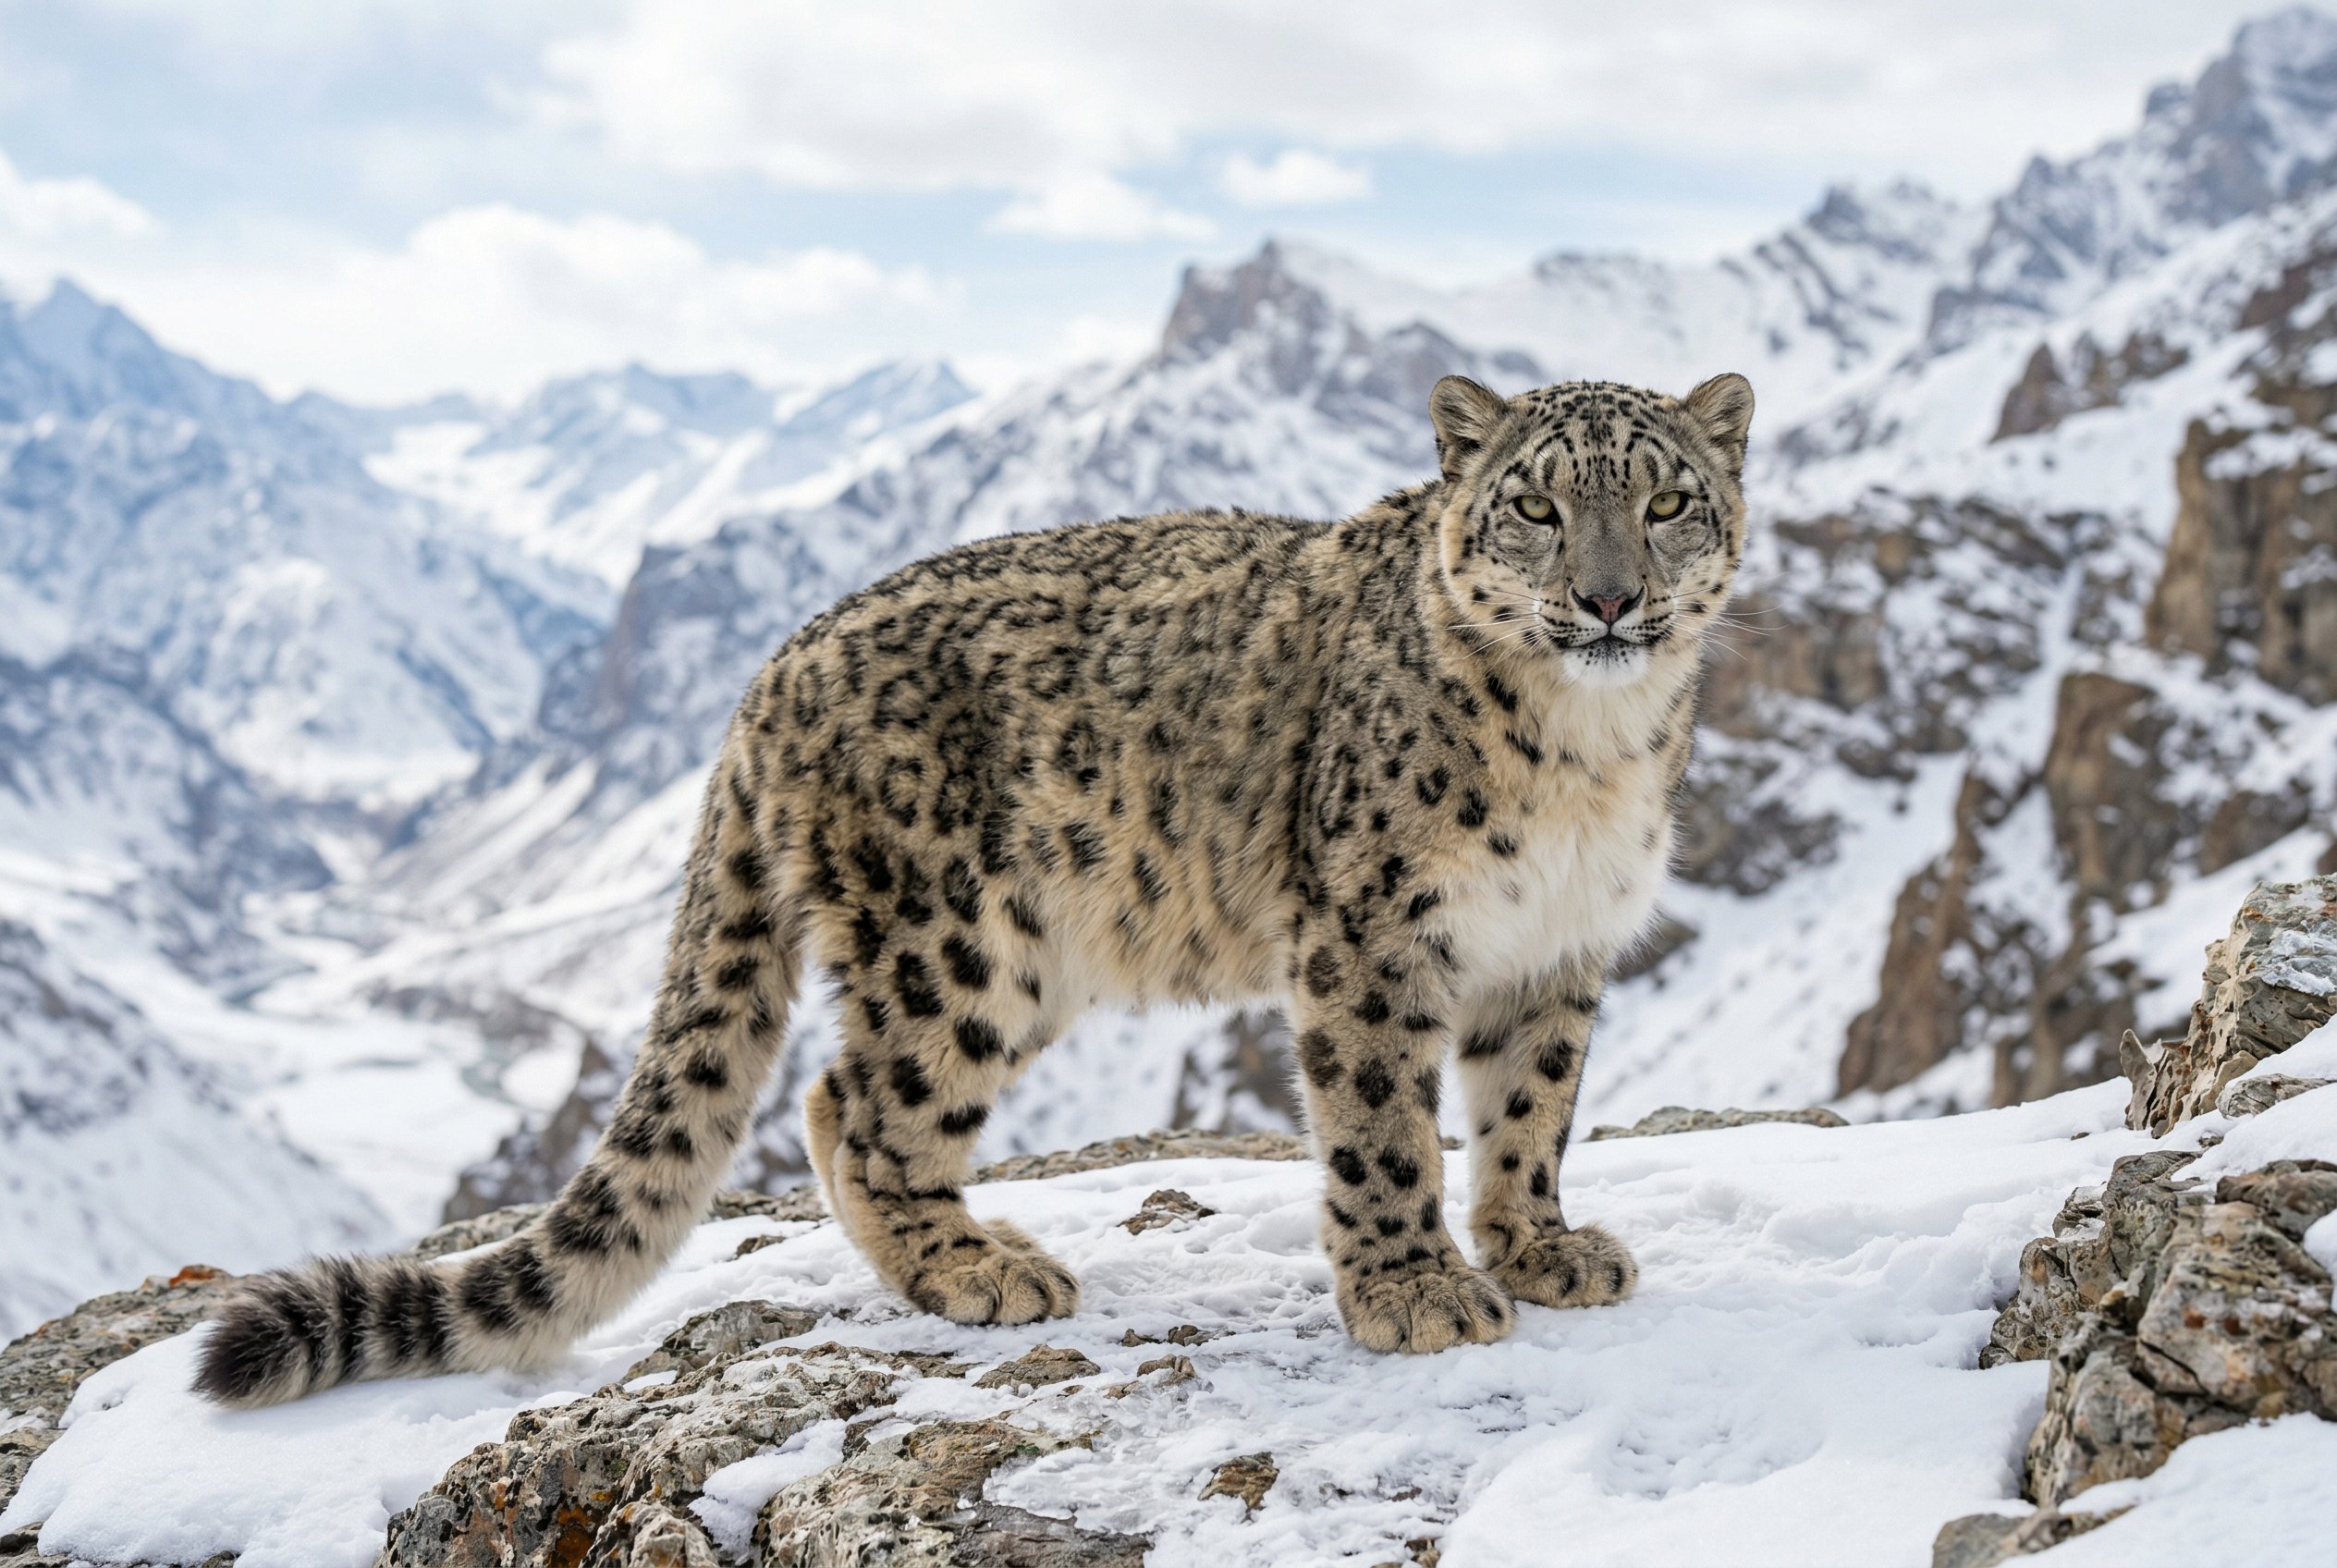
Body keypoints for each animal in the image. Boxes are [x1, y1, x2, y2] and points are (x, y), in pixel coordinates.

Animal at [194, 370, 1754, 1405]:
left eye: (1670, 499)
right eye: (1537, 505)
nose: (1610, 598)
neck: (1588, 758)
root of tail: (774, 668)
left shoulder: (1554, 950)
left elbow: (1529, 1111)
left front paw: (1541, 1248)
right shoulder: (1372, 938)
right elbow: (1379, 1121)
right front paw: (1413, 1290)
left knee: (843, 1102)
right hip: (963, 940)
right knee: (862, 1105)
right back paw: (975, 1266)